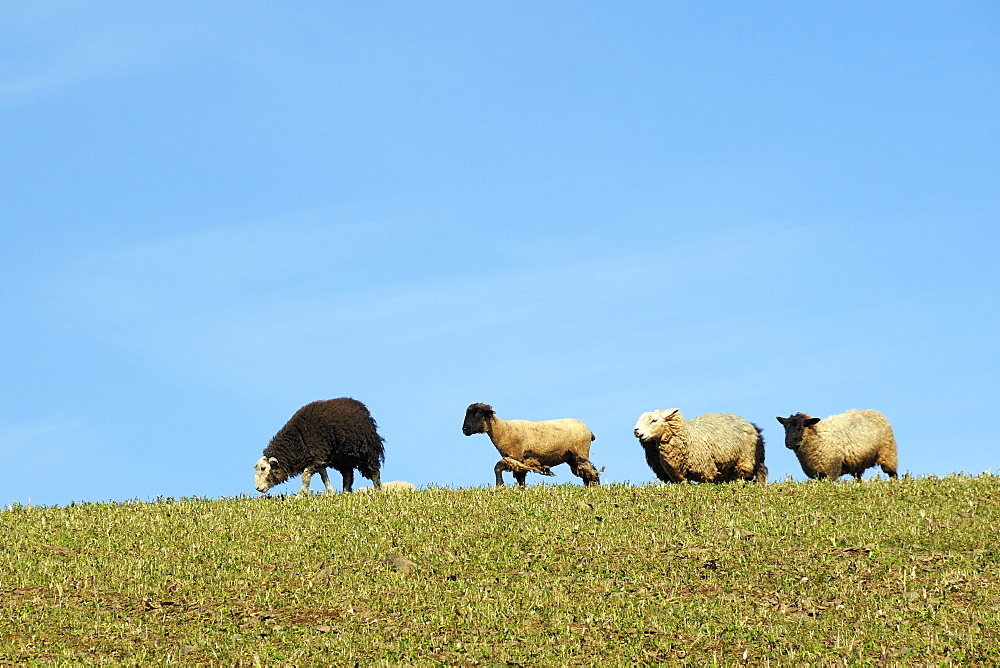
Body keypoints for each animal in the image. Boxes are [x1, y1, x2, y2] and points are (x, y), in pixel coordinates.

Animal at [252, 396, 384, 496]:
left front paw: (300, 494)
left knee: (374, 471)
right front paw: (331, 492)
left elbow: (305, 476)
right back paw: (346, 492)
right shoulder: (318, 458)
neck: (297, 441)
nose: (257, 488)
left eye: (263, 468)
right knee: (348, 475)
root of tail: (360, 406)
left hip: (368, 451)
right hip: (343, 458)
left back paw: (377, 490)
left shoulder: (317, 456)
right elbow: (324, 476)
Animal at [462, 402, 600, 486]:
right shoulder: (517, 459)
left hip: (580, 452)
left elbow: (498, 468)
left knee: (592, 472)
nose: (464, 429)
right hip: (571, 457)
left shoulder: (516, 457)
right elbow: (520, 477)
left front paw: (500, 485)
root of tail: (588, 429)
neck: (502, 430)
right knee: (586, 473)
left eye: (478, 413)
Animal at [772, 408, 900, 480]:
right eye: (785, 428)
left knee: (893, 473)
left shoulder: (830, 470)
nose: (788, 443)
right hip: (858, 463)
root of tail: (874, 411)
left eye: (798, 427)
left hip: (888, 452)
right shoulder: (818, 473)